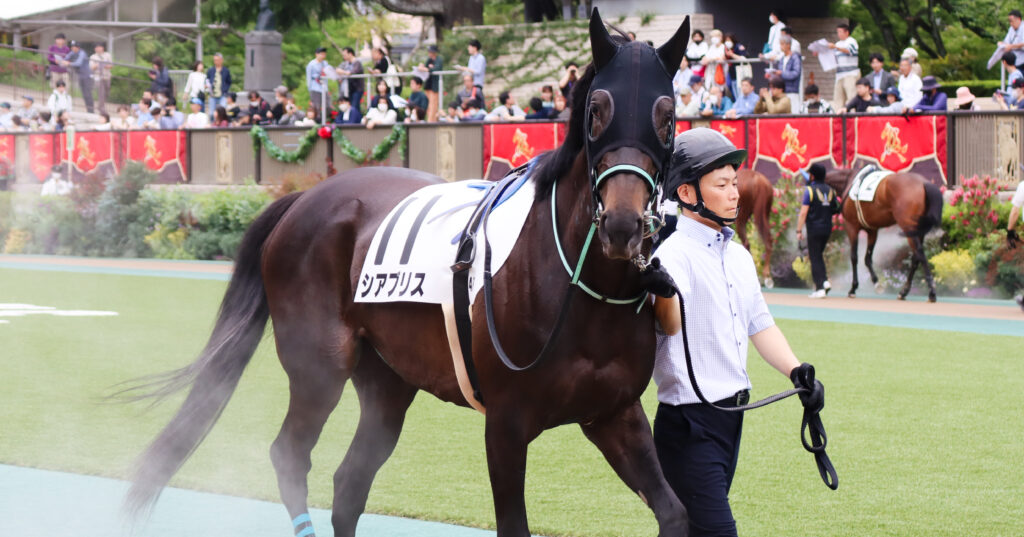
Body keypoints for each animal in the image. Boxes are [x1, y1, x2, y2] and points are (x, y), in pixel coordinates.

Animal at [124, 11, 694, 537]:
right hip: (318, 369)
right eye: (597, 110)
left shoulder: (614, 414)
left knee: (349, 483)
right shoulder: (506, 424)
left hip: (388, 383)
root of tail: (305, 198)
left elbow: (675, 512)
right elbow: (514, 523)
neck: (579, 288)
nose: (622, 224)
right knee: (290, 455)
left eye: (668, 117)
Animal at [825, 167, 943, 301]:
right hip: (919, 231)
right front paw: (876, 283)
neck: (849, 182)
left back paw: (931, 292)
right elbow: (867, 258)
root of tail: (924, 182)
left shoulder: (852, 227)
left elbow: (854, 257)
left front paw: (853, 288)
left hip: (909, 229)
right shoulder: (872, 230)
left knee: (920, 255)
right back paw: (904, 291)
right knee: (915, 258)